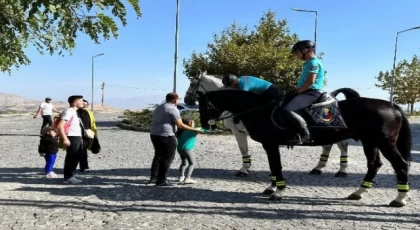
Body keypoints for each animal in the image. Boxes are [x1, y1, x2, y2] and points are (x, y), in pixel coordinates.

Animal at [184, 71, 348, 177]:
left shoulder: (238, 131)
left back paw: (342, 170)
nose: (187, 100)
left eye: (192, 83)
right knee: (329, 145)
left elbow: (243, 149)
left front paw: (244, 169)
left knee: (342, 145)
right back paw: (319, 168)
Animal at [200, 87, 410, 208]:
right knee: (374, 165)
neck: (260, 109)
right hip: (370, 142)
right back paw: (358, 193)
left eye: (204, 105)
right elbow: (273, 167)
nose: (204, 124)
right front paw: (272, 187)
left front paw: (278, 192)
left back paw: (399, 199)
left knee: (400, 165)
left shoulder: (270, 144)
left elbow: (276, 166)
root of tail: (392, 106)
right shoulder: (270, 145)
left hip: (384, 142)